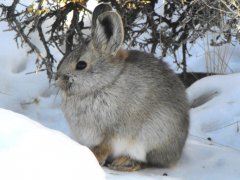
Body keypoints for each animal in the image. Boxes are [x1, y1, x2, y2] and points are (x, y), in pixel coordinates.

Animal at [56, 2, 189, 172]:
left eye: (81, 65)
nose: (57, 79)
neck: (105, 83)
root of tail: (177, 152)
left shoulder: (114, 132)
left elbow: (105, 147)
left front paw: (95, 158)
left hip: (151, 137)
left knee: (147, 161)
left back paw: (123, 163)